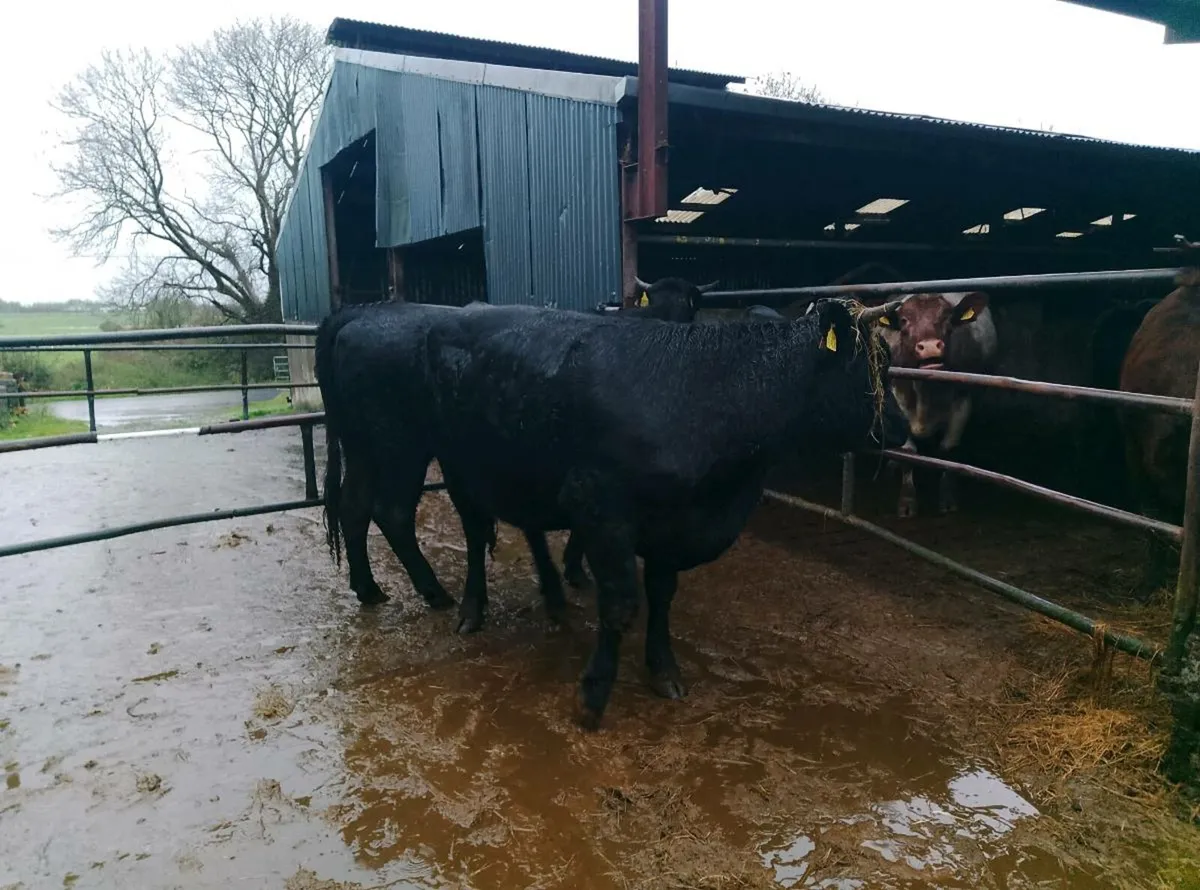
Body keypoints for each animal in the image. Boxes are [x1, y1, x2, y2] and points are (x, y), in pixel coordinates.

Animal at [318, 296, 910, 728]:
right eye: (872, 369)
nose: (903, 430)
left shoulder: (674, 522)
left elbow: (662, 595)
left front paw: (664, 670)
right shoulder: (600, 507)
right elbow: (621, 603)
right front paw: (594, 692)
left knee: (366, 507)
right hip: (431, 454)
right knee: (427, 518)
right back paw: (460, 604)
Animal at [872, 291, 998, 518]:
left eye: (947, 318)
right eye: (904, 320)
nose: (930, 346)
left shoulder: (962, 403)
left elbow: (948, 450)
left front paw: (947, 500)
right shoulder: (897, 398)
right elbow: (908, 453)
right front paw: (907, 502)